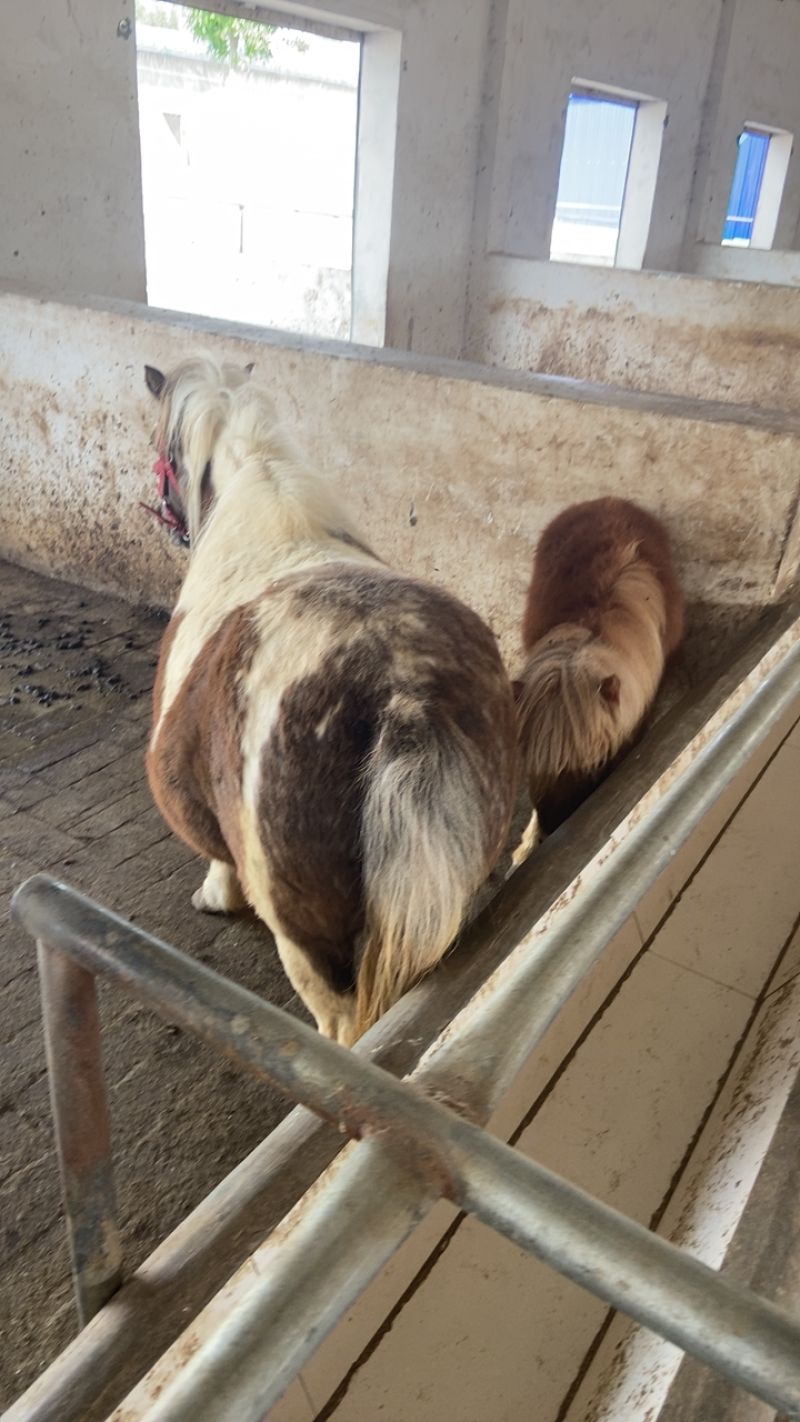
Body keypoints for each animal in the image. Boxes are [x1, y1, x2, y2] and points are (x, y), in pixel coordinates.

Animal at [143, 356, 518, 1045]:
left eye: (164, 455)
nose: (168, 518)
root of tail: (402, 695)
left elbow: (215, 858)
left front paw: (215, 895)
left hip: (310, 944)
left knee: (341, 1022)